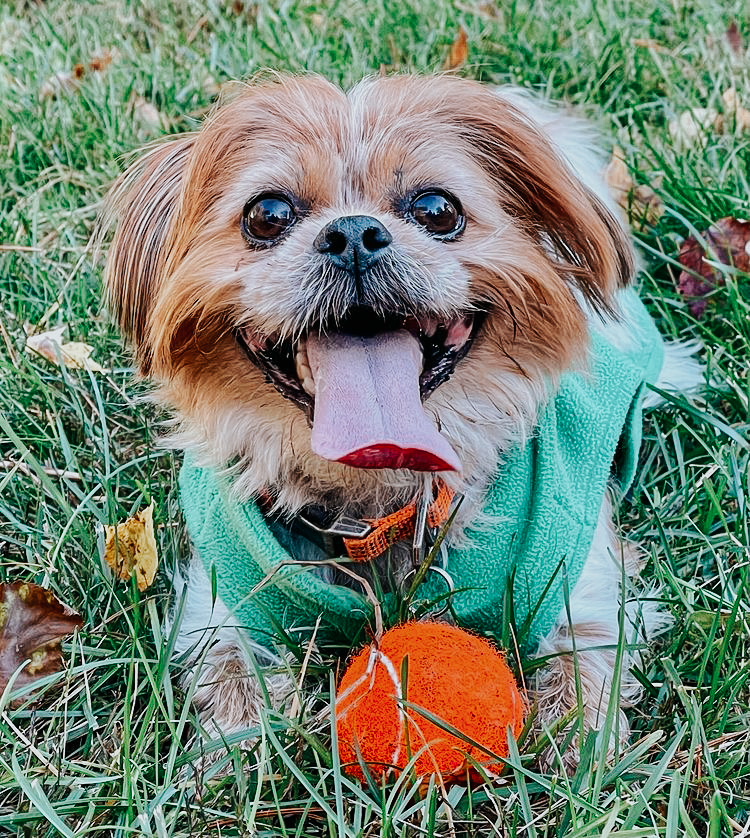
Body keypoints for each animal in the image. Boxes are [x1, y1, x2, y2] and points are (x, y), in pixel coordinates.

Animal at [106, 75, 704, 772]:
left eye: (437, 209)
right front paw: (235, 752)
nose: (353, 233)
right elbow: (229, 669)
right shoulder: (226, 597)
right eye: (268, 215)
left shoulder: (583, 580)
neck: (381, 501)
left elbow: (586, 659)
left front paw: (575, 751)